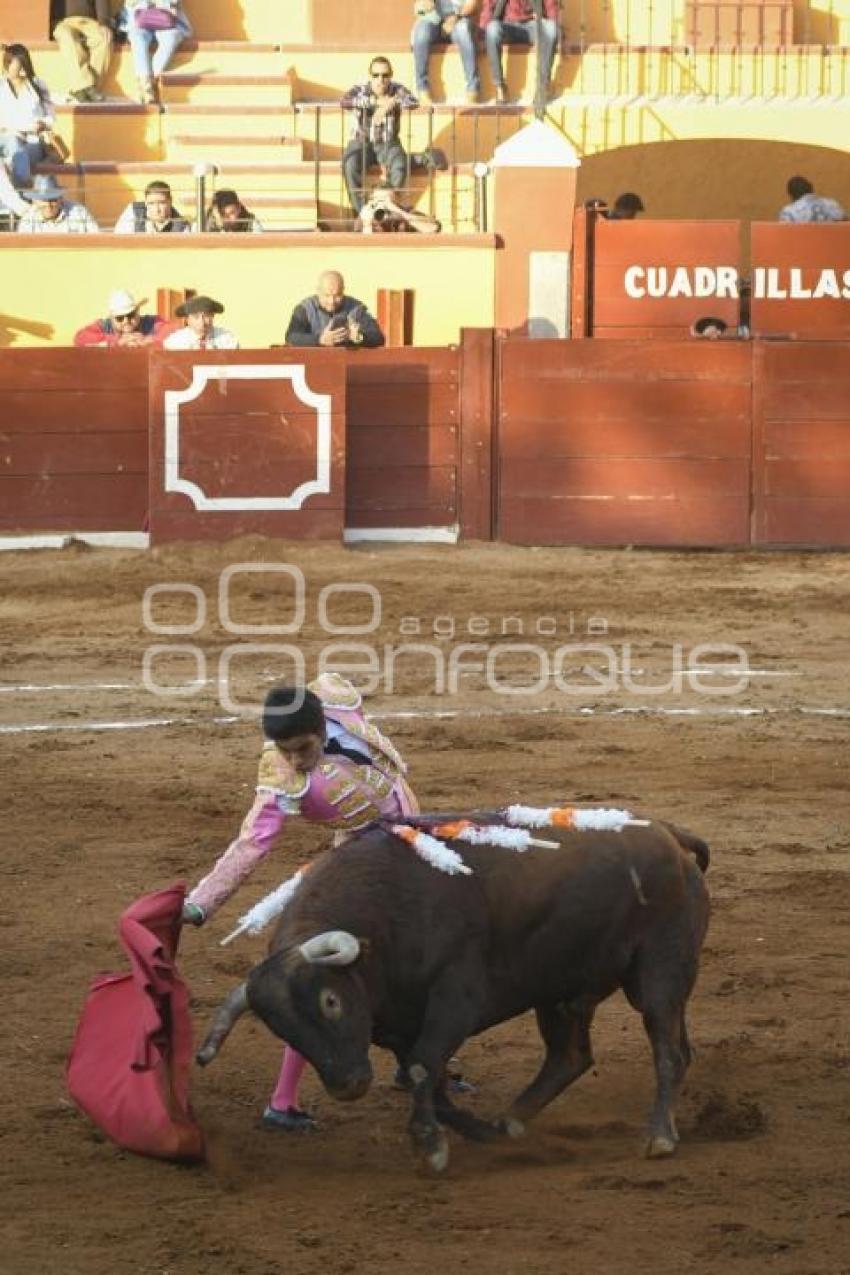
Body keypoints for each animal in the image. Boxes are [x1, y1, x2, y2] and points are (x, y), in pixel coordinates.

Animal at [200, 816, 713, 1167]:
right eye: (282, 1031)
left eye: (331, 1001)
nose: (349, 1085)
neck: (383, 918)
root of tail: (669, 836)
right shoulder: (400, 1027)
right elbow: (432, 1081)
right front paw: (474, 1132)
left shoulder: (456, 1000)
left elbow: (425, 1066)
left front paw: (429, 1145)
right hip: (560, 990)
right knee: (570, 1057)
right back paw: (511, 1121)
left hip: (659, 972)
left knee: (667, 1049)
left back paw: (660, 1136)